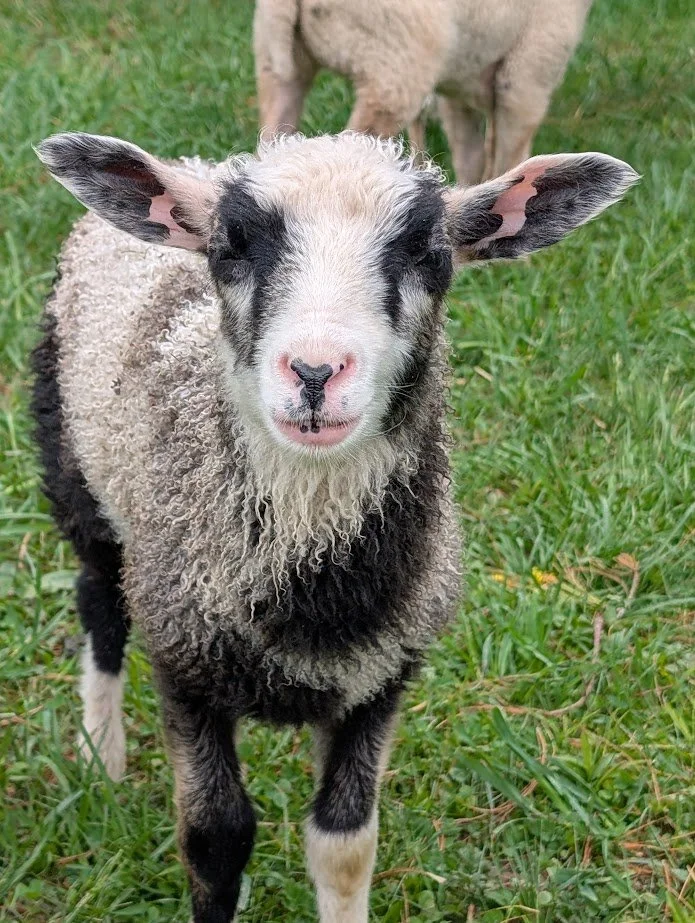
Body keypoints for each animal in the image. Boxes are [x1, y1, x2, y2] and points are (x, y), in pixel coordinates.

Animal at [33, 128, 636, 923]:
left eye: (429, 255)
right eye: (231, 246)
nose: (316, 373)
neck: (314, 586)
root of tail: (192, 164)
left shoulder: (381, 676)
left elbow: (345, 843)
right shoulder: (183, 659)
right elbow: (215, 839)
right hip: (80, 478)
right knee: (100, 602)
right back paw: (102, 754)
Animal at [254, 0, 594, 183]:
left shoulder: (461, 86)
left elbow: (470, 154)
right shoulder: (529, 71)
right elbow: (512, 155)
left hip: (279, 62)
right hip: (394, 70)